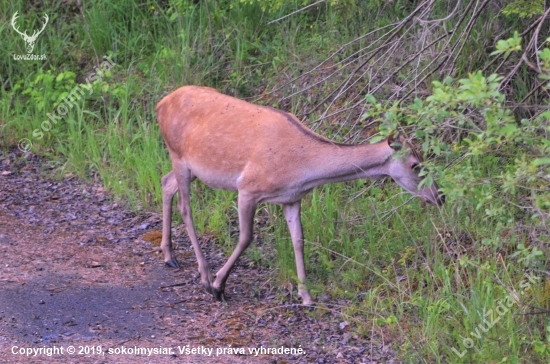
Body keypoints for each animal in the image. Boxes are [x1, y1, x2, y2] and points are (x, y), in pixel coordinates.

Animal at [155, 84, 444, 304]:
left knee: (165, 182)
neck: (300, 169)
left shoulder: (292, 198)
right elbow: (247, 237)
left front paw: (306, 296)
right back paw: (204, 275)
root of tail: (161, 103)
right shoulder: (247, 187)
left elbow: (299, 240)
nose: (439, 197)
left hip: (191, 166)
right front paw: (218, 285)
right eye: (415, 164)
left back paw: (169, 256)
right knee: (185, 207)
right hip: (178, 154)